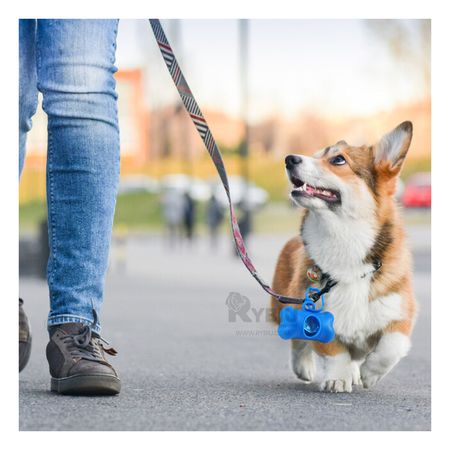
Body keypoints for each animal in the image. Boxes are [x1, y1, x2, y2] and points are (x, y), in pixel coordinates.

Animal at [268, 121, 416, 392]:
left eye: (338, 159)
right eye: (316, 155)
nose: (289, 158)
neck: (345, 239)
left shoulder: (401, 312)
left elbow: (392, 346)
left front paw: (370, 373)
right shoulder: (314, 312)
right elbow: (333, 351)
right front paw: (337, 378)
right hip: (284, 306)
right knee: (297, 341)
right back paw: (304, 367)